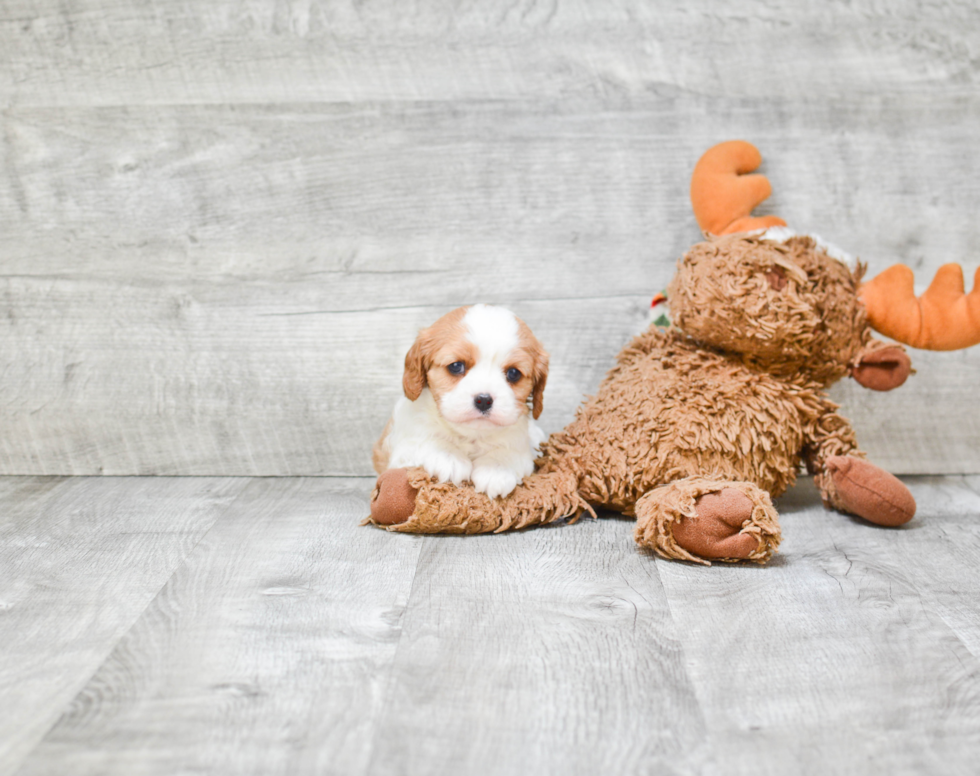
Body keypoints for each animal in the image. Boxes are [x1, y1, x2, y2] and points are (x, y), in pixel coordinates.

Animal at [372, 304, 548, 498]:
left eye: (513, 373)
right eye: (456, 366)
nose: (484, 400)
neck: (470, 435)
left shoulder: (522, 447)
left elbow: (510, 453)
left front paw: (496, 469)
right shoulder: (404, 446)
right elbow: (427, 440)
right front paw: (448, 457)